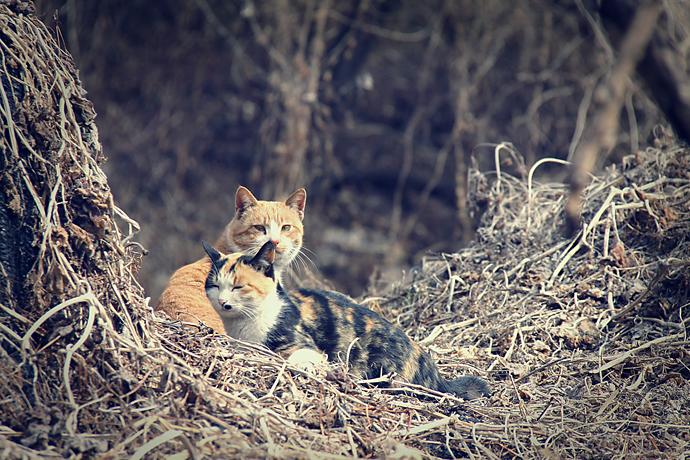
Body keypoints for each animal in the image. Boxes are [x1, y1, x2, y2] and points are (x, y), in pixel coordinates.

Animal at [202, 241, 486, 398]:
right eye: (214, 285)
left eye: (238, 287)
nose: (222, 302)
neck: (244, 326)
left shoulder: (303, 345)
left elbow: (297, 359)